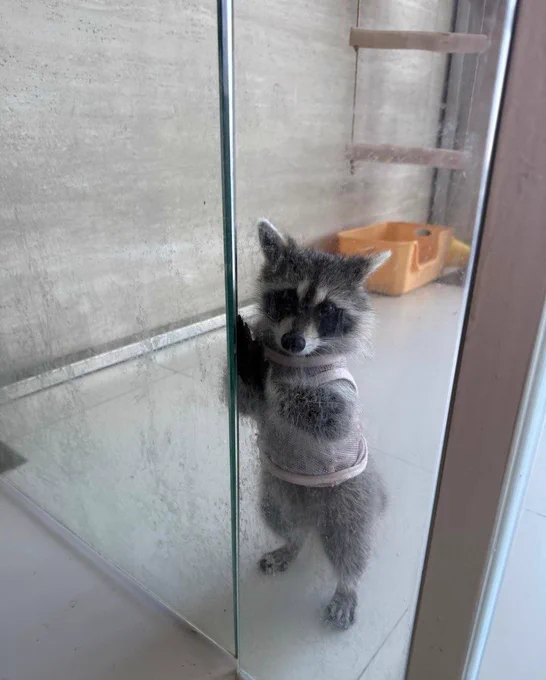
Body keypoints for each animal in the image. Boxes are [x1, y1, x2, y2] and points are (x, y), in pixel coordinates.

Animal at [237, 219, 389, 630]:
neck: (299, 359)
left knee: (351, 543)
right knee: (283, 520)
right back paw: (293, 542)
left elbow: (330, 417)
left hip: (350, 498)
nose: (293, 341)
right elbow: (246, 404)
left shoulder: (341, 391)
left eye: (327, 311)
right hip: (277, 493)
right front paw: (246, 360)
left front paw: (275, 379)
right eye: (288, 298)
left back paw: (347, 584)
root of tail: (314, 516)